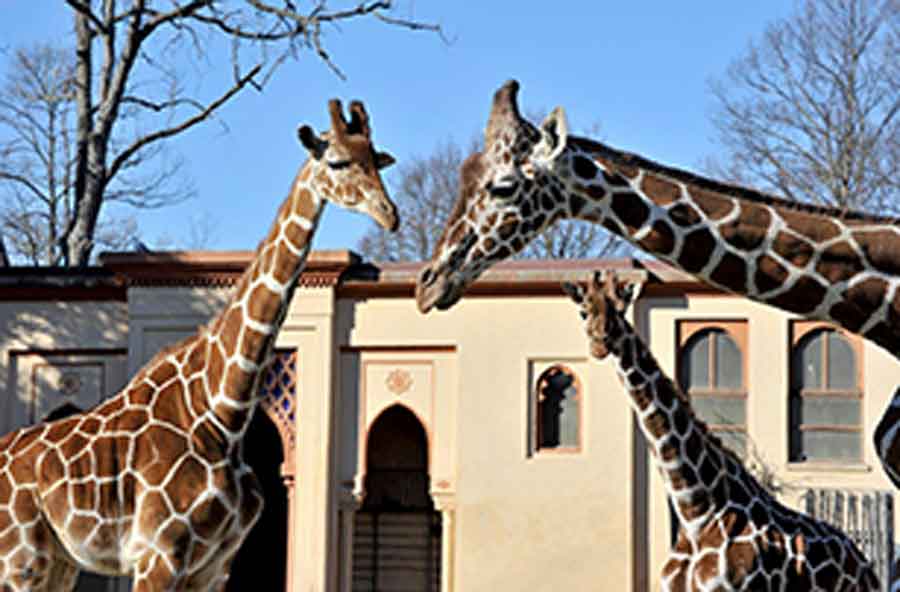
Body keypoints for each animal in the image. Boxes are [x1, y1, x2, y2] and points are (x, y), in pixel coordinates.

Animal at [0, 99, 398, 588]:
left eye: (376, 160)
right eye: (338, 161)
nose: (390, 214)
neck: (221, 412)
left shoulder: (216, 563)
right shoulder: (158, 554)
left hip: (56, 563)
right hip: (21, 558)